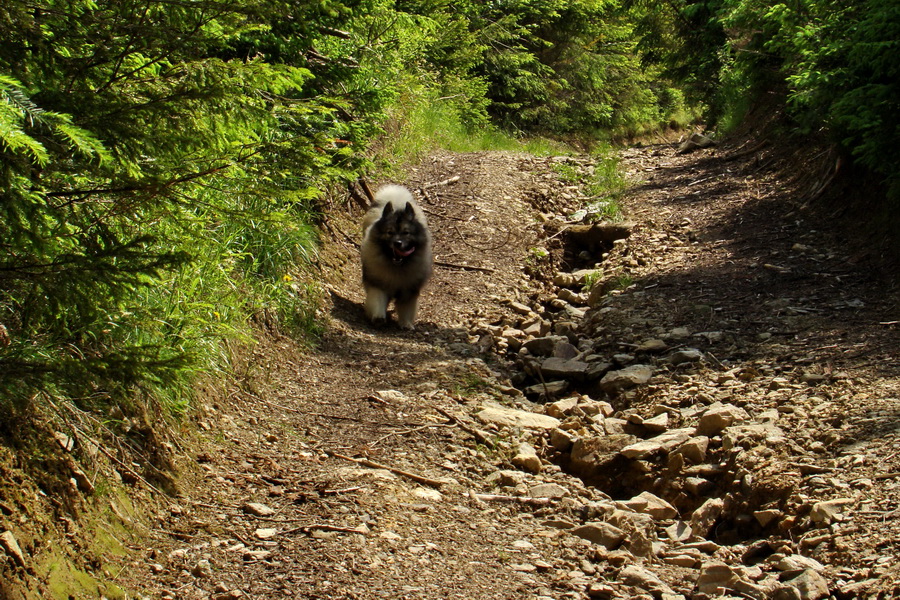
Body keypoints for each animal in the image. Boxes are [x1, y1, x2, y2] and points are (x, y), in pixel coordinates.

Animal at [358, 186, 432, 330]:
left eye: (406, 233)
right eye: (390, 232)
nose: (397, 243)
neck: (397, 267)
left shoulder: (408, 292)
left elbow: (406, 309)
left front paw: (406, 323)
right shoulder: (378, 285)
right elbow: (378, 300)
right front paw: (378, 318)